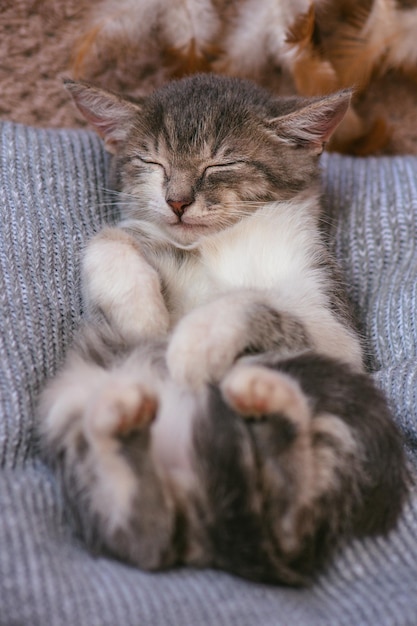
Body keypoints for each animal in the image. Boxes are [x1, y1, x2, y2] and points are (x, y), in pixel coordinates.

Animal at [39, 74, 406, 584]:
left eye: (223, 162)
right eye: (152, 161)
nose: (176, 200)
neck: (221, 243)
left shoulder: (335, 325)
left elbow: (259, 300)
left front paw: (194, 344)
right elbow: (110, 237)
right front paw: (140, 316)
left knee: (290, 518)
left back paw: (263, 400)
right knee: (143, 531)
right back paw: (125, 418)